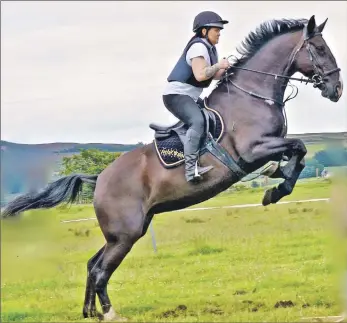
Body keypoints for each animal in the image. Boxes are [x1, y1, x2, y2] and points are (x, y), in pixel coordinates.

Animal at [1, 15, 344, 322]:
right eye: (320, 49)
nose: (336, 89)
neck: (252, 95)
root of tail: (99, 179)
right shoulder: (254, 150)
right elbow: (298, 147)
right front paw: (275, 188)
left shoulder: (268, 146)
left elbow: (298, 154)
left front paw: (276, 182)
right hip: (124, 234)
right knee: (100, 271)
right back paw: (110, 314)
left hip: (127, 231)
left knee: (91, 264)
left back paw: (90, 313)